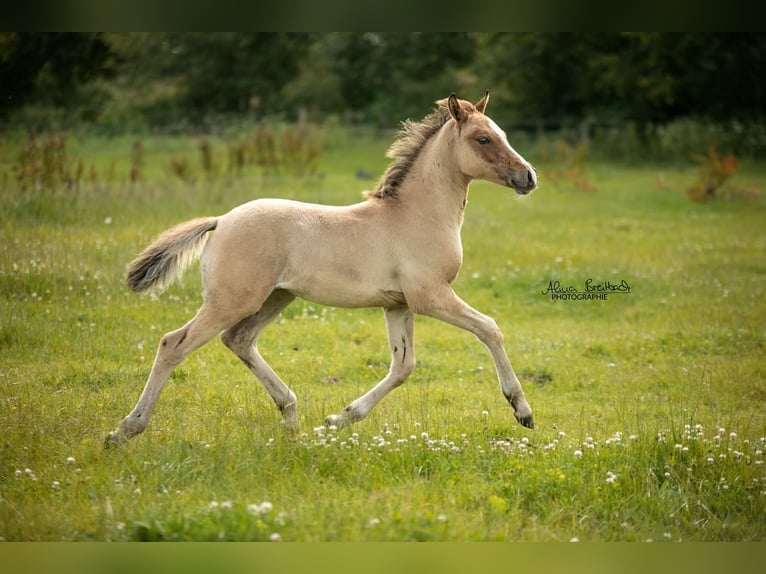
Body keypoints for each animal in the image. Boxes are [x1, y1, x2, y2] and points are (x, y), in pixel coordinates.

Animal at [105, 93, 540, 450]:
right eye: (482, 139)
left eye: (501, 134)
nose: (529, 177)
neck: (416, 214)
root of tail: (221, 220)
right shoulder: (430, 296)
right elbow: (489, 328)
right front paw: (522, 410)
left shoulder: (397, 305)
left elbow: (403, 367)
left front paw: (338, 419)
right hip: (231, 300)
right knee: (173, 344)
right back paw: (125, 430)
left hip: (275, 297)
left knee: (239, 340)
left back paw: (291, 416)